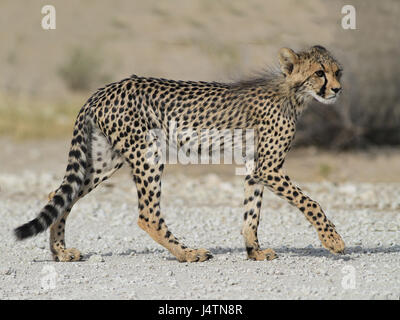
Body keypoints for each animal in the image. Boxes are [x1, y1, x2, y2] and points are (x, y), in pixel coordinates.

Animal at [15, 46, 344, 264]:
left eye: (337, 71)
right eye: (319, 73)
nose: (338, 89)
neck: (293, 93)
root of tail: (105, 89)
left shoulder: (255, 166)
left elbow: (252, 212)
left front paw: (254, 251)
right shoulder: (270, 168)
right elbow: (310, 202)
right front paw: (332, 240)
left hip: (106, 160)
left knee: (59, 195)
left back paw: (60, 252)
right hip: (147, 153)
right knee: (148, 215)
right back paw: (188, 252)